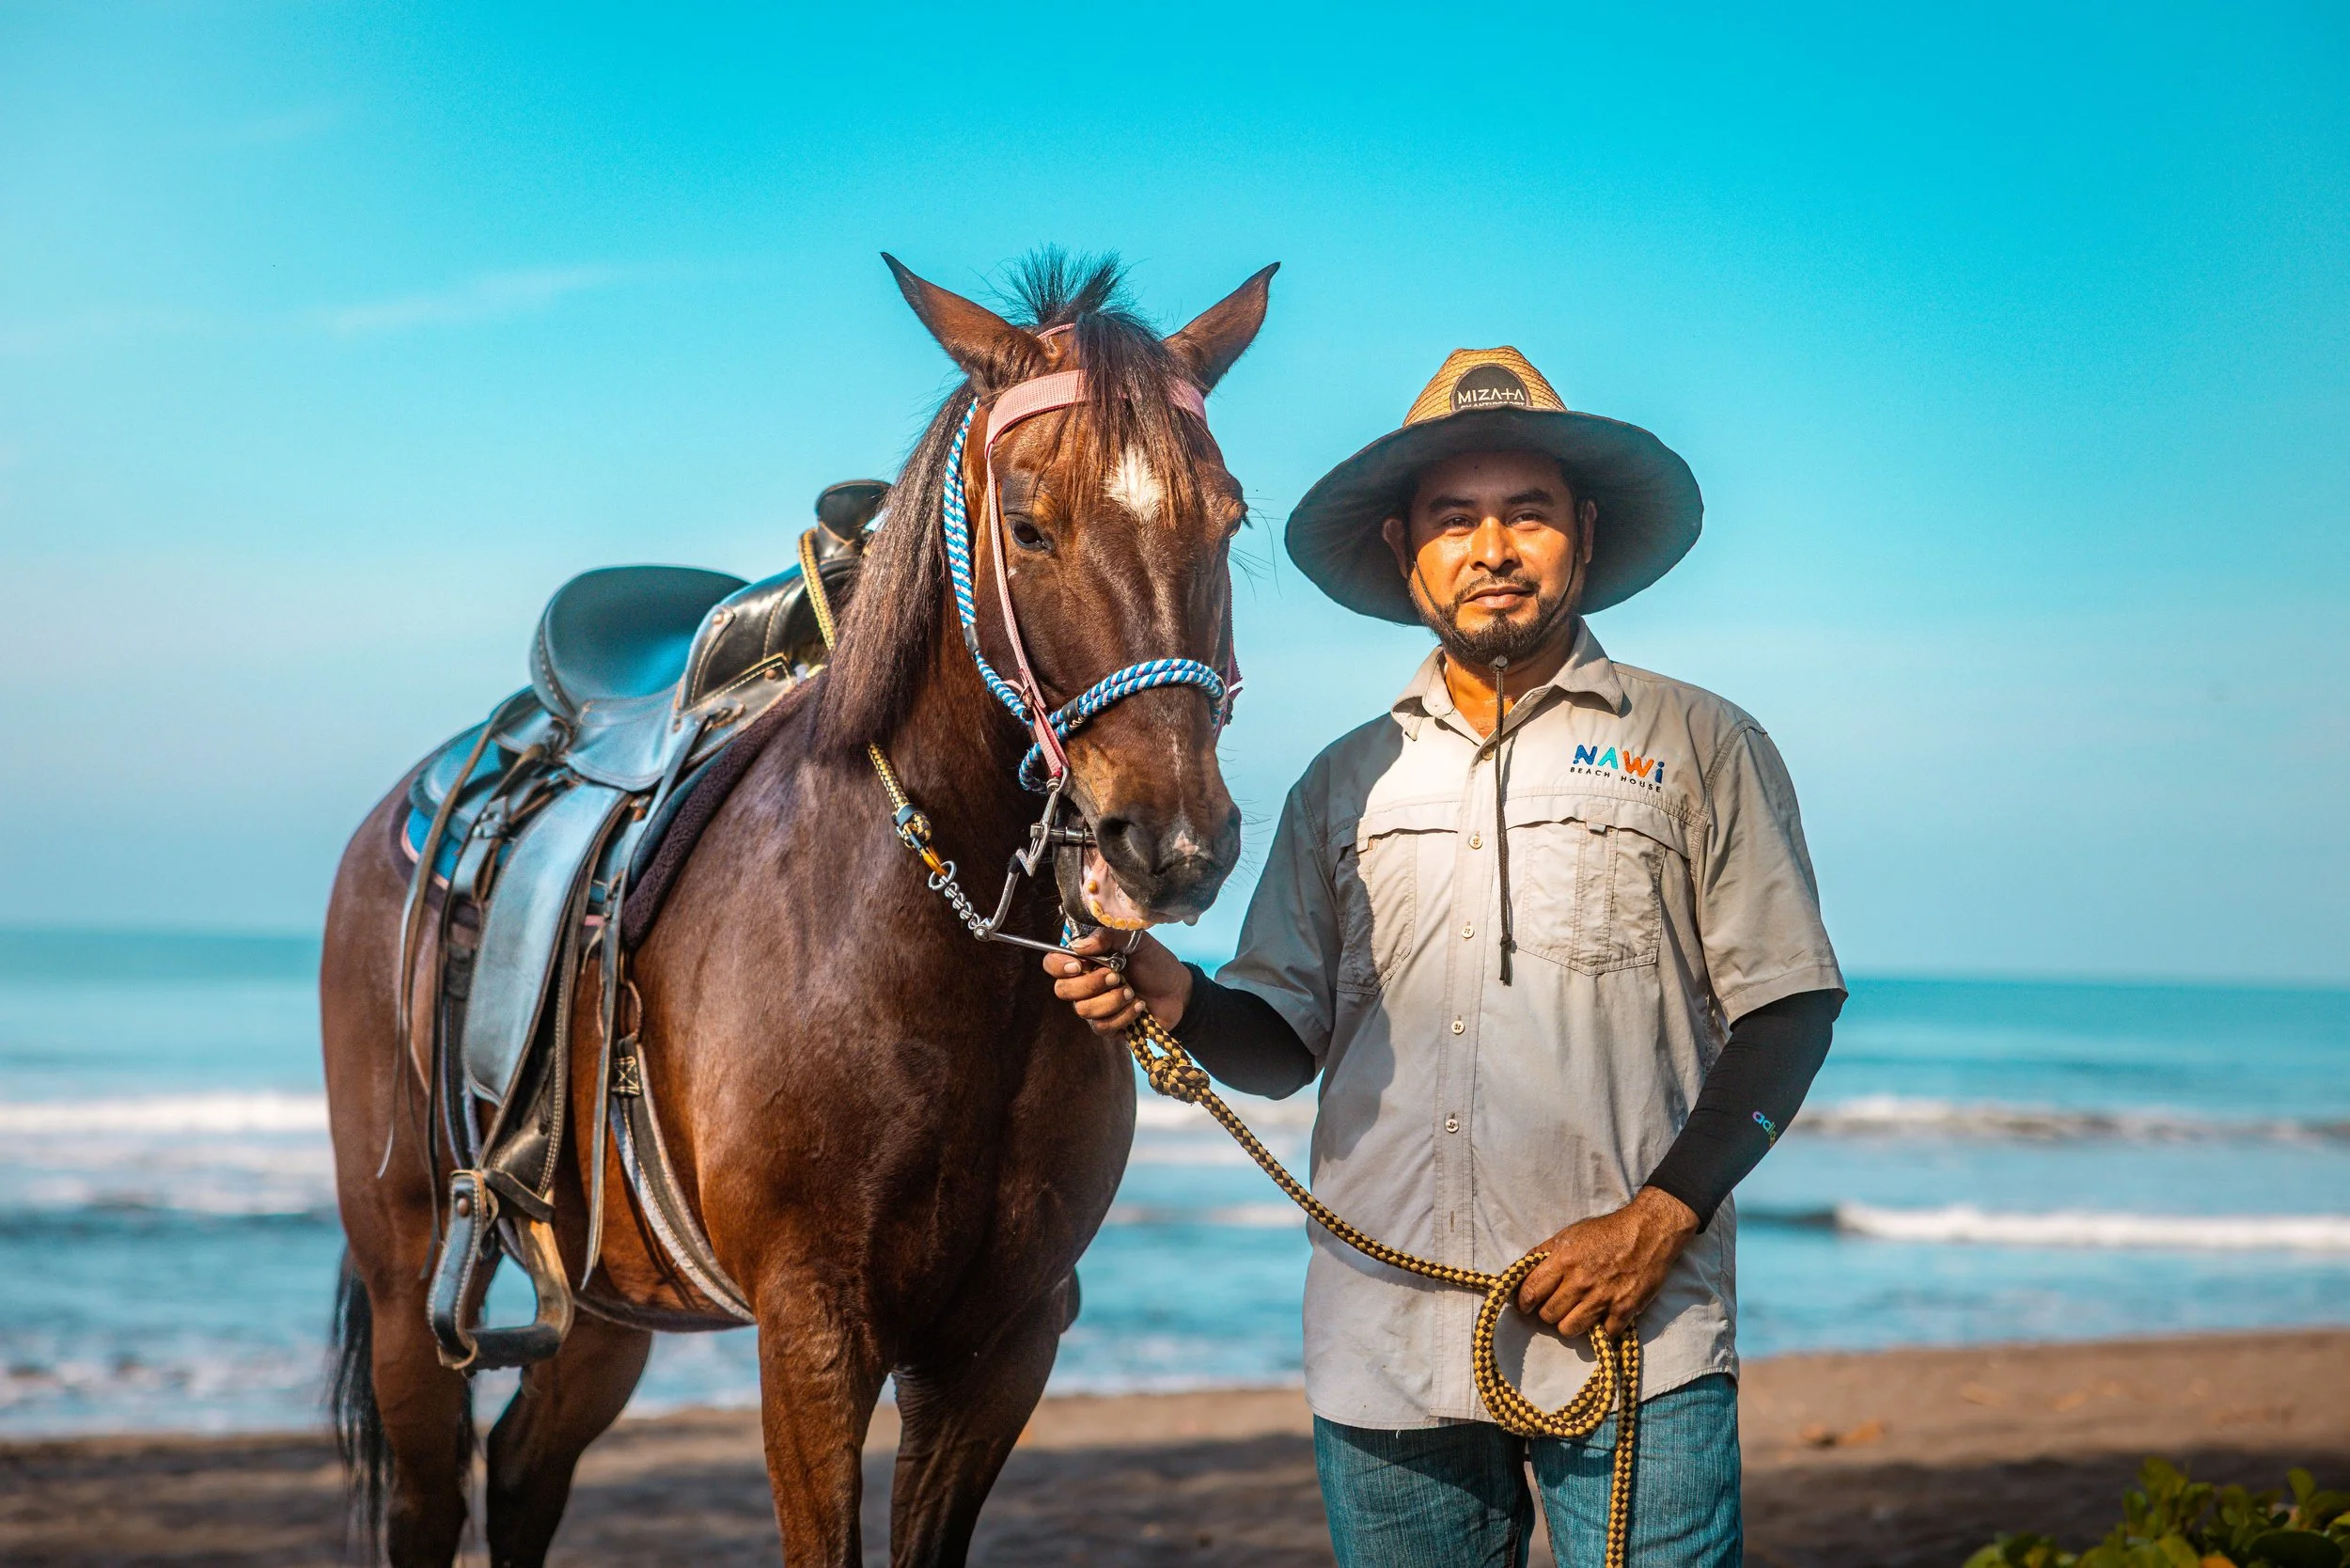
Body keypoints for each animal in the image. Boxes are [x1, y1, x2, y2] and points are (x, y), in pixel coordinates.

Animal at [320, 250, 1275, 1566]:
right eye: (1028, 525)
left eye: (1228, 521)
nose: (1174, 842)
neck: (922, 947)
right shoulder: (814, 1330)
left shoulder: (1003, 1341)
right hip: (405, 1270)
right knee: (428, 1494)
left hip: (607, 1300)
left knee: (521, 1472)